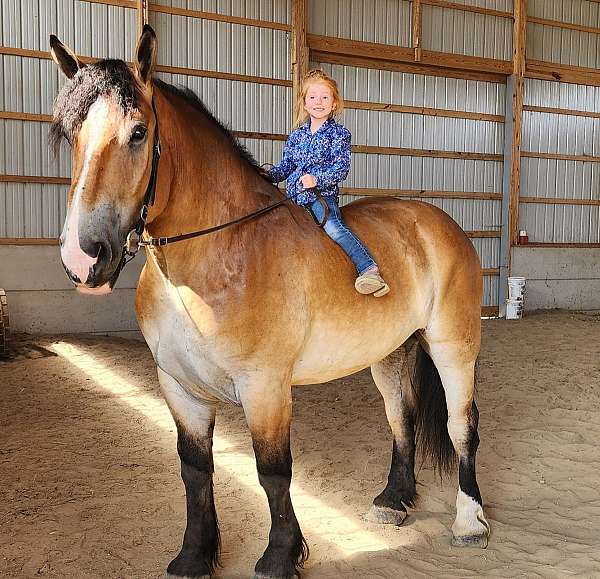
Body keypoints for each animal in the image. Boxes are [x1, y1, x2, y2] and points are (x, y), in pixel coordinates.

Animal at [50, 24, 492, 579]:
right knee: (401, 418)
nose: (84, 256)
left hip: (454, 345)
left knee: (462, 427)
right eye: (71, 136)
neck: (216, 258)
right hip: (391, 351)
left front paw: (281, 556)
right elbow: (195, 471)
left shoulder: (265, 387)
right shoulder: (178, 387)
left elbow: (273, 472)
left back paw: (470, 521)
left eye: (137, 133)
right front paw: (194, 555)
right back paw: (393, 500)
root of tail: (439, 224)